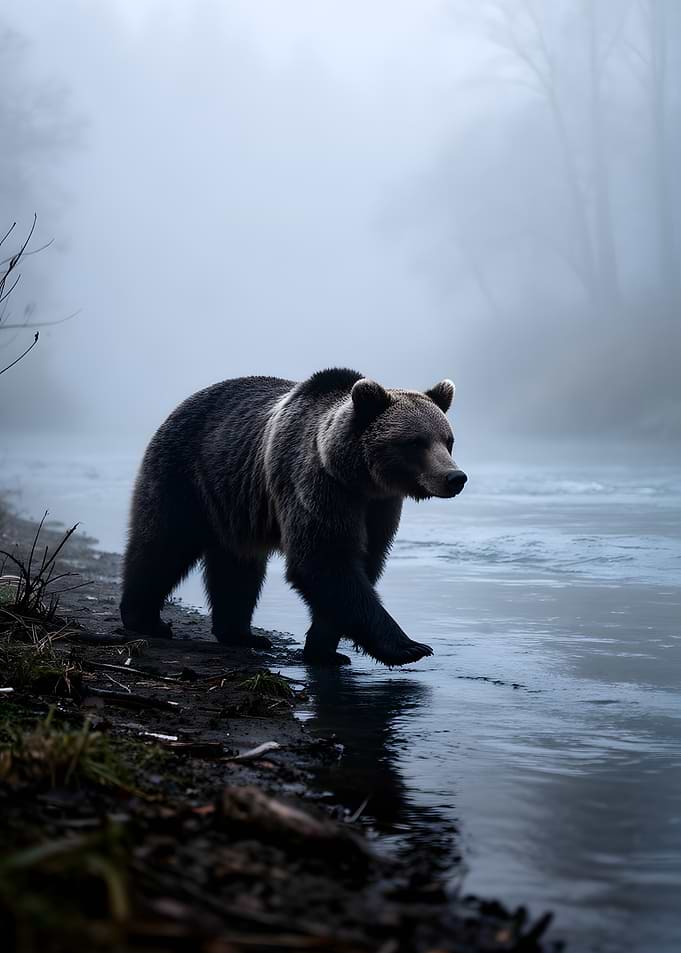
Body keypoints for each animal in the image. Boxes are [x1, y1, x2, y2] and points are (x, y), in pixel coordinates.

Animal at [119, 368, 467, 667]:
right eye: (415, 442)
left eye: (448, 440)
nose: (454, 477)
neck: (358, 478)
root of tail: (182, 404)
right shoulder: (315, 486)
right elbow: (324, 559)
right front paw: (408, 646)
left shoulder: (379, 508)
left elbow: (360, 565)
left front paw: (324, 649)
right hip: (185, 475)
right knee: (163, 543)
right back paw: (145, 619)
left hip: (235, 504)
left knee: (237, 567)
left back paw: (241, 634)